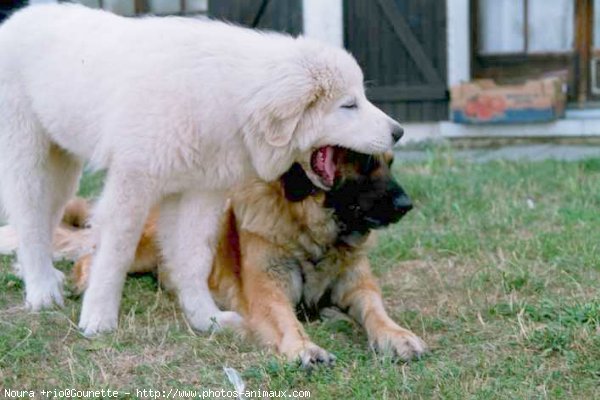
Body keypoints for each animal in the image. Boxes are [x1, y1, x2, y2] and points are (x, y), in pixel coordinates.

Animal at [1, 3, 404, 334]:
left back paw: (43, 277)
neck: (230, 100)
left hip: (62, 167)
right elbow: (115, 254)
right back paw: (41, 291)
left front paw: (205, 318)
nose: (398, 132)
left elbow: (193, 258)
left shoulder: (200, 193)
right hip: (27, 155)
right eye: (349, 105)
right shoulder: (134, 184)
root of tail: (16, 18)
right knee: (29, 217)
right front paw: (98, 318)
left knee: (44, 218)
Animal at [57, 148, 422, 368]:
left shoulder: (359, 288)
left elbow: (376, 311)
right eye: (366, 162)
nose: (407, 205)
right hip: (142, 247)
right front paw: (304, 348)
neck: (313, 235)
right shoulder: (268, 294)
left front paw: (396, 335)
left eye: (391, 162)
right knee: (95, 255)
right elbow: (286, 321)